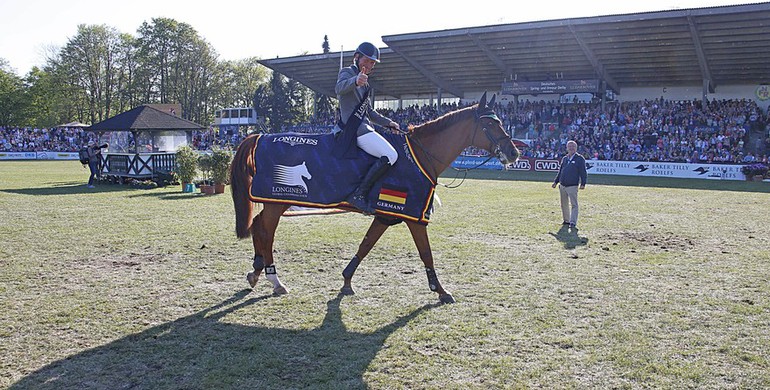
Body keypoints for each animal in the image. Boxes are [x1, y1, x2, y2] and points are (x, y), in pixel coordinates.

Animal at [228, 92, 516, 304]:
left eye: (501, 121)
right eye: (491, 123)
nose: (514, 153)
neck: (420, 155)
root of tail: (260, 136)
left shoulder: (386, 215)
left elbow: (366, 245)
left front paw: (346, 281)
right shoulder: (413, 216)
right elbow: (426, 253)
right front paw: (441, 290)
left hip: (274, 203)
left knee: (258, 226)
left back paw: (256, 272)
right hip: (278, 202)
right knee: (266, 231)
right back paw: (274, 280)